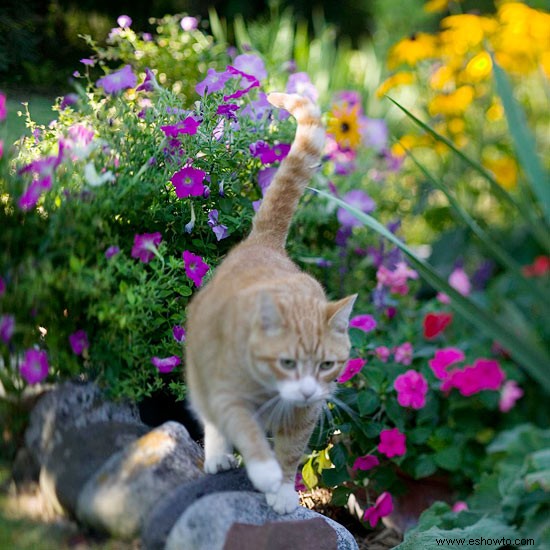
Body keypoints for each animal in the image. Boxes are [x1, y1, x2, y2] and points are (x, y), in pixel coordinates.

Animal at [185, 91, 358, 516]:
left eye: (326, 365)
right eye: (287, 363)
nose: (309, 390)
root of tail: (263, 243)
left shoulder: (305, 415)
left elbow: (291, 451)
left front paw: (280, 489)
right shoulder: (227, 395)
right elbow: (244, 430)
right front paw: (262, 472)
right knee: (212, 421)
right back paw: (218, 456)